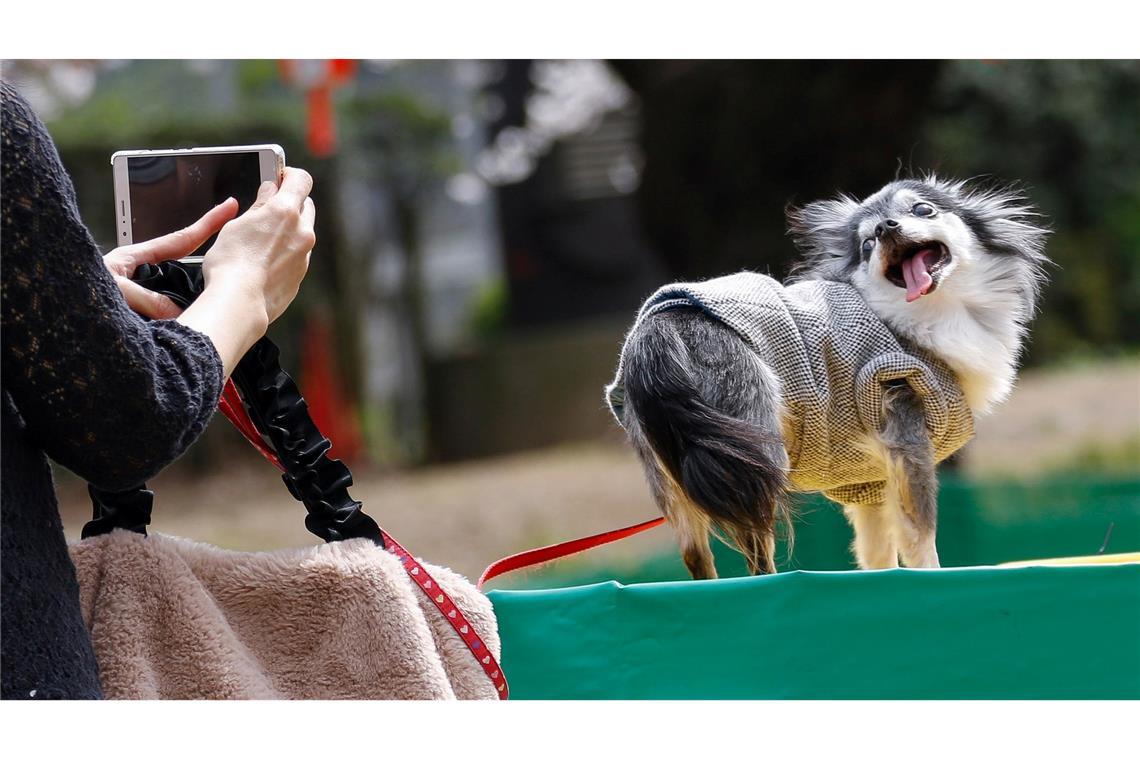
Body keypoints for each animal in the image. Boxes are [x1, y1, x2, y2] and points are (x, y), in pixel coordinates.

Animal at [606, 176, 1048, 576]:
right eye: (868, 244)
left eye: (923, 209)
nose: (886, 228)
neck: (926, 315)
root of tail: (656, 328)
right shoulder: (906, 430)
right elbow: (919, 534)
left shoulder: (871, 479)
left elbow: (876, 549)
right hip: (754, 452)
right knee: (755, 554)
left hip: (672, 468)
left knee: (695, 553)